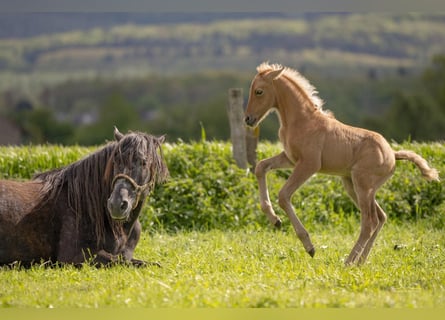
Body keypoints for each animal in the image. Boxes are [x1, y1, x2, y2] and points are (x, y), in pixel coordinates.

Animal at [0, 127, 168, 268]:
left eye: (144, 162)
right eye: (115, 161)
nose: (116, 204)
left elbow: (149, 263)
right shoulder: (75, 257)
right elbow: (119, 261)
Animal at [245, 62, 438, 264]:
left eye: (259, 91)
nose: (248, 119)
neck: (302, 121)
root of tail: (392, 154)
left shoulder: (309, 165)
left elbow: (283, 195)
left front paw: (309, 246)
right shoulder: (290, 158)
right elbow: (260, 167)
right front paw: (274, 220)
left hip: (363, 186)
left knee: (369, 222)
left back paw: (349, 262)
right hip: (353, 186)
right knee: (380, 217)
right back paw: (360, 261)